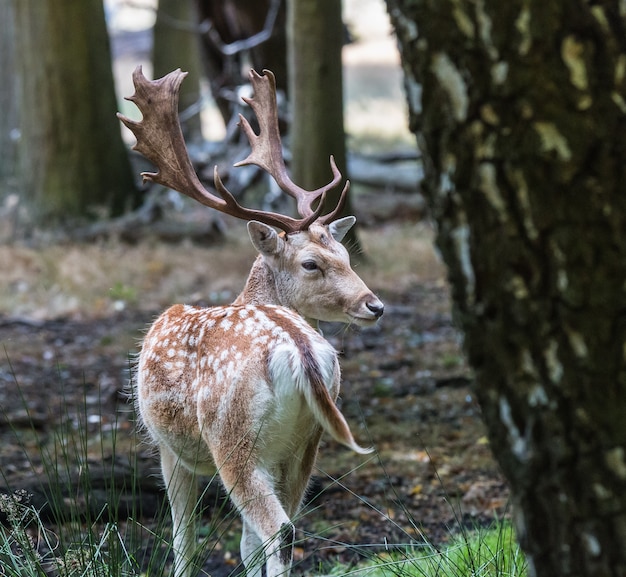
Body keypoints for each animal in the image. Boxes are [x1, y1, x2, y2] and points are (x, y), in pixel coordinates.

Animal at [116, 66, 380, 576]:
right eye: (314, 263)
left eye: (344, 254)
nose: (375, 305)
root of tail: (300, 349)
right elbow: (241, 544)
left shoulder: (167, 447)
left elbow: (183, 541)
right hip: (306, 444)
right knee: (277, 528)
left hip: (233, 439)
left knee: (279, 530)